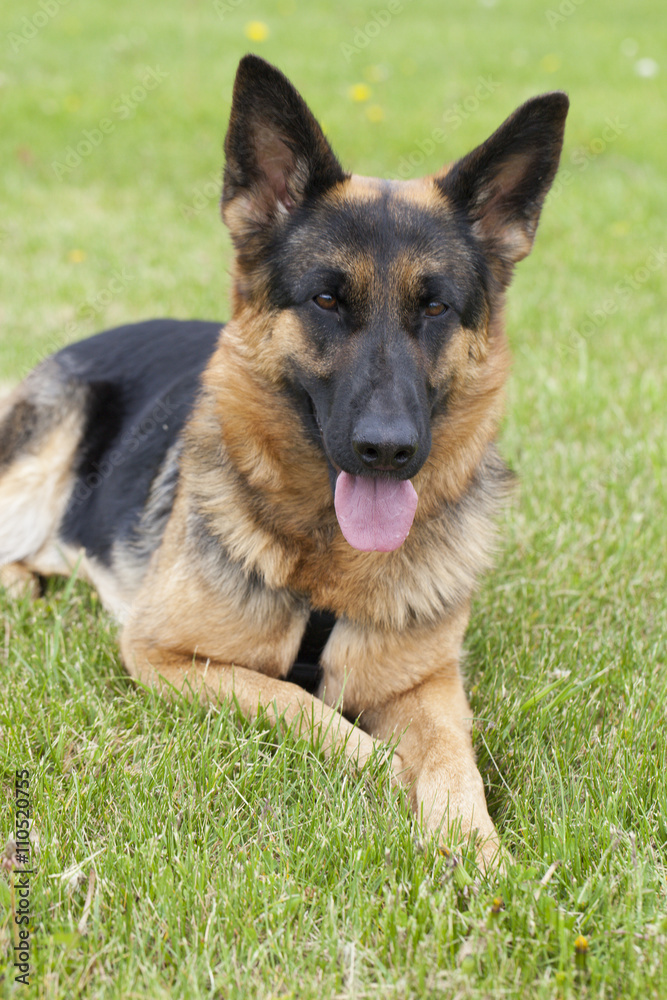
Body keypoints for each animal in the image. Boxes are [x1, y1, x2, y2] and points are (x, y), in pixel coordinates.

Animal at [1, 56, 568, 868]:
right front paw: (391, 775)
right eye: (327, 300)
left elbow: (452, 759)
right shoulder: (164, 657)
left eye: (434, 308)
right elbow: (298, 703)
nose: (388, 449)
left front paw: (475, 848)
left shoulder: (430, 685)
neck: (330, 566)